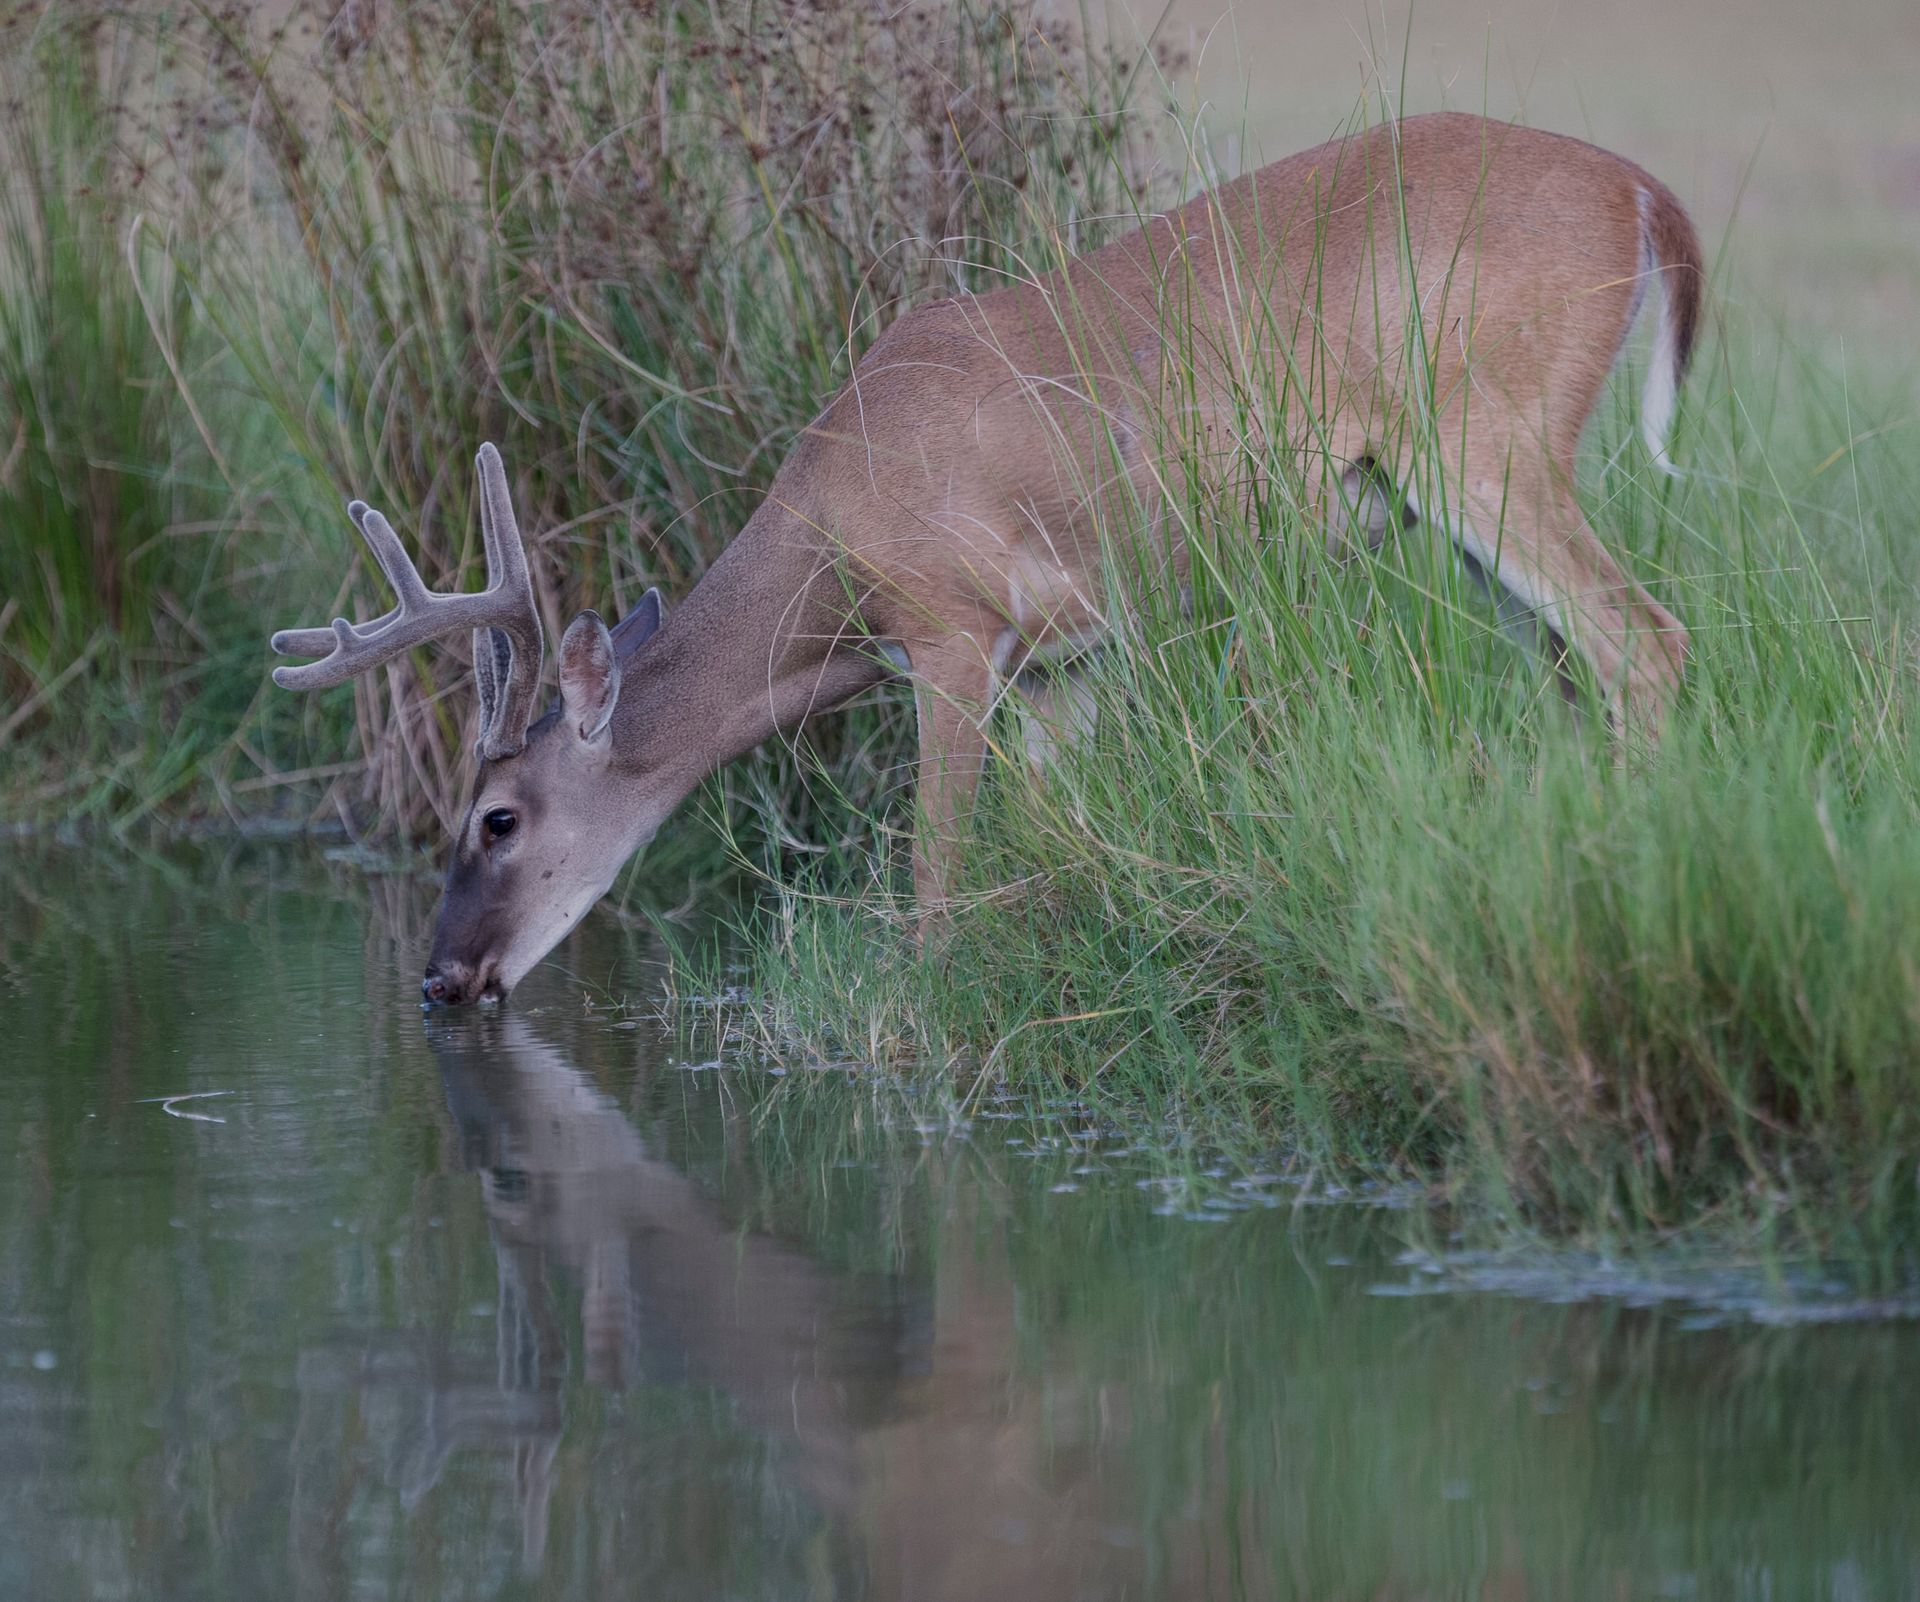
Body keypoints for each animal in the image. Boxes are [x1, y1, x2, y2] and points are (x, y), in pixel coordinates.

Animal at [269, 112, 1702, 1005]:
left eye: (497, 817)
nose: (441, 980)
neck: (832, 542)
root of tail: (1648, 197)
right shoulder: (1072, 662)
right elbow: (1057, 845)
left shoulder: (954, 628)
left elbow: (936, 871)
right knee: (1579, 667)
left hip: (1487, 436)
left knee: (1646, 641)